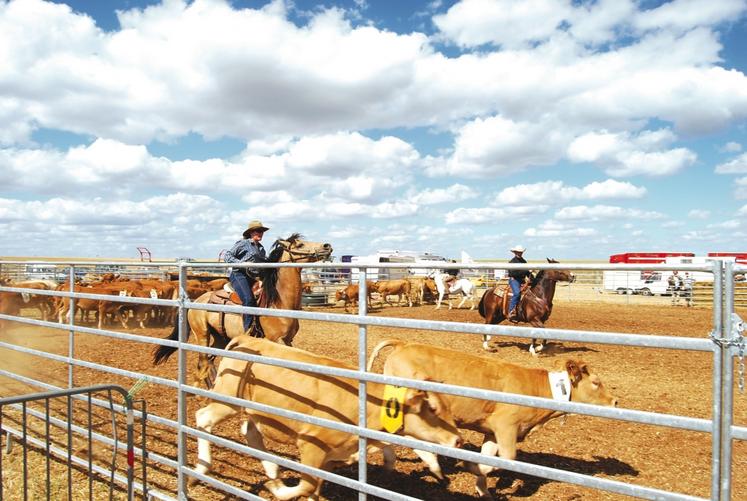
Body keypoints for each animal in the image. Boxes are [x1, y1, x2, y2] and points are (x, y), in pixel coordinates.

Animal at [152, 233, 332, 386]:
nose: (327, 245)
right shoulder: (276, 339)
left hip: (220, 338)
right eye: (300, 244)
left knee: (209, 360)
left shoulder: (288, 340)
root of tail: (197, 300)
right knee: (202, 361)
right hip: (202, 334)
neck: (279, 302)